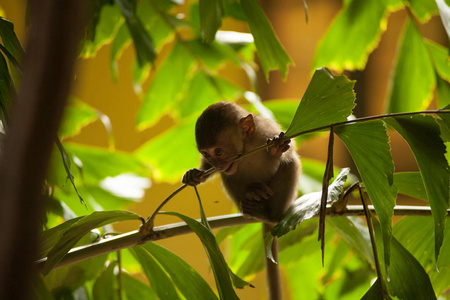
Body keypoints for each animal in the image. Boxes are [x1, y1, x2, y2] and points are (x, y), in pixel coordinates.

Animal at [181, 101, 300, 300]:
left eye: (218, 151)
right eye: (206, 154)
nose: (219, 164)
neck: (247, 146)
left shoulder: (265, 131)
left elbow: (287, 153)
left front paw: (276, 149)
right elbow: (214, 172)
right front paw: (195, 174)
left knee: (290, 162)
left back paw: (271, 215)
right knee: (228, 176)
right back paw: (253, 194)